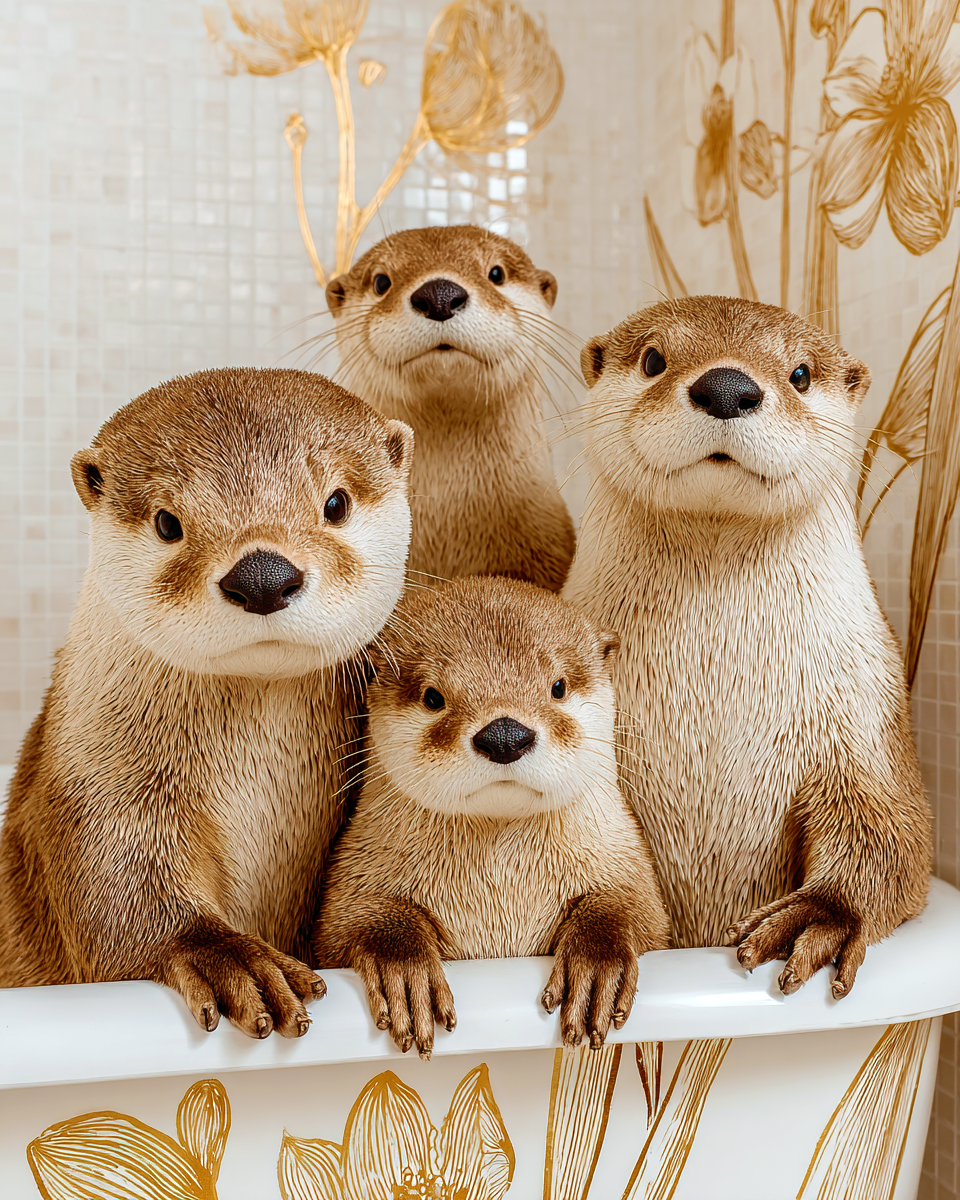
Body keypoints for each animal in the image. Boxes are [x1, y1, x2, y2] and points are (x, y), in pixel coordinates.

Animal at [0, 367, 413, 1038]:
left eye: (336, 503)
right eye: (169, 522)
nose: (263, 576)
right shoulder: (94, 786)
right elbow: (118, 894)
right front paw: (227, 958)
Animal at [314, 575, 670, 1058]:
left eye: (558, 686)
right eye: (433, 697)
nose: (504, 735)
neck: (502, 891)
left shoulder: (626, 862)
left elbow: (633, 911)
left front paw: (597, 966)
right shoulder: (356, 873)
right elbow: (355, 922)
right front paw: (403, 970)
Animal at [563, 296, 932, 998]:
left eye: (800, 373)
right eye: (653, 358)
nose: (728, 387)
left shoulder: (866, 714)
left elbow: (896, 834)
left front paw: (822, 916)